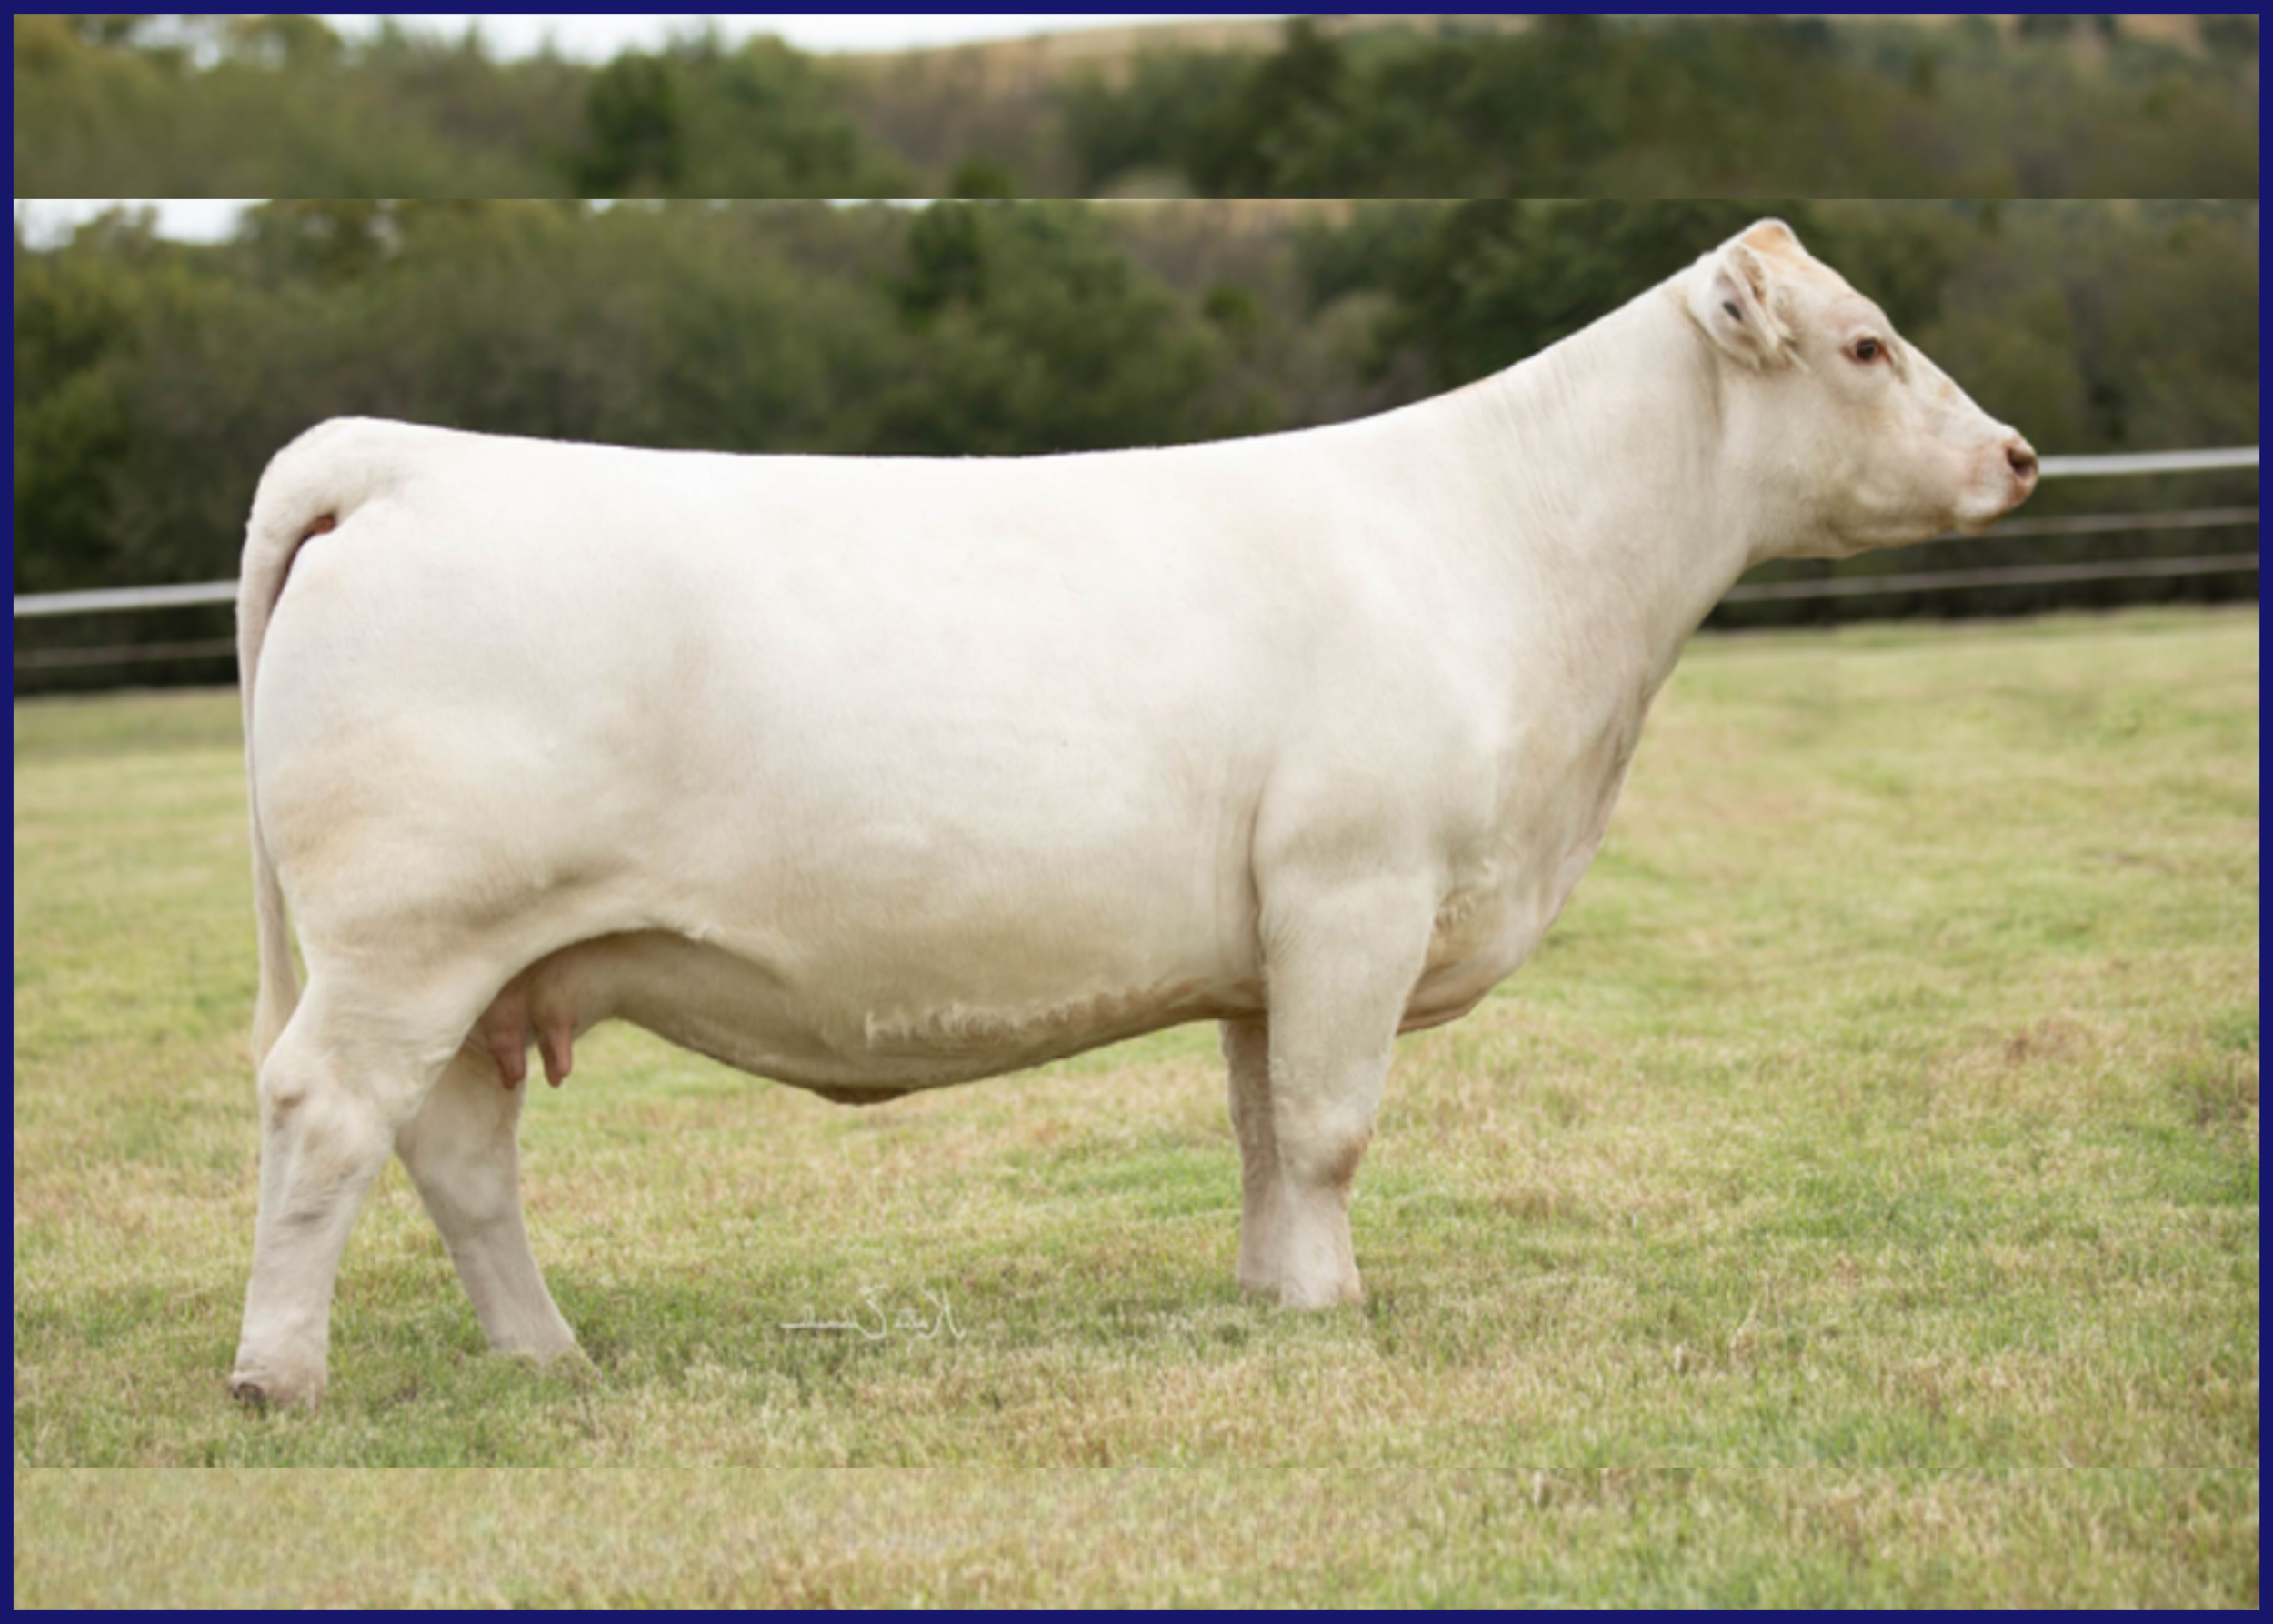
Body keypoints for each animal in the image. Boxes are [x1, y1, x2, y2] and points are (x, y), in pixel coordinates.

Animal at [226, 220, 2037, 1407]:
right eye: (1867, 342)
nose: (2020, 454)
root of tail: (402, 453)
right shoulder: (1358, 891)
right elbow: (1332, 1127)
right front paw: (1335, 1309)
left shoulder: (1271, 942)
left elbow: (1262, 1128)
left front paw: (1272, 1298)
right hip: (407, 939)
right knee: (327, 1114)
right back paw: (278, 1375)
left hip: (483, 962)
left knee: (458, 1154)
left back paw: (546, 1354)